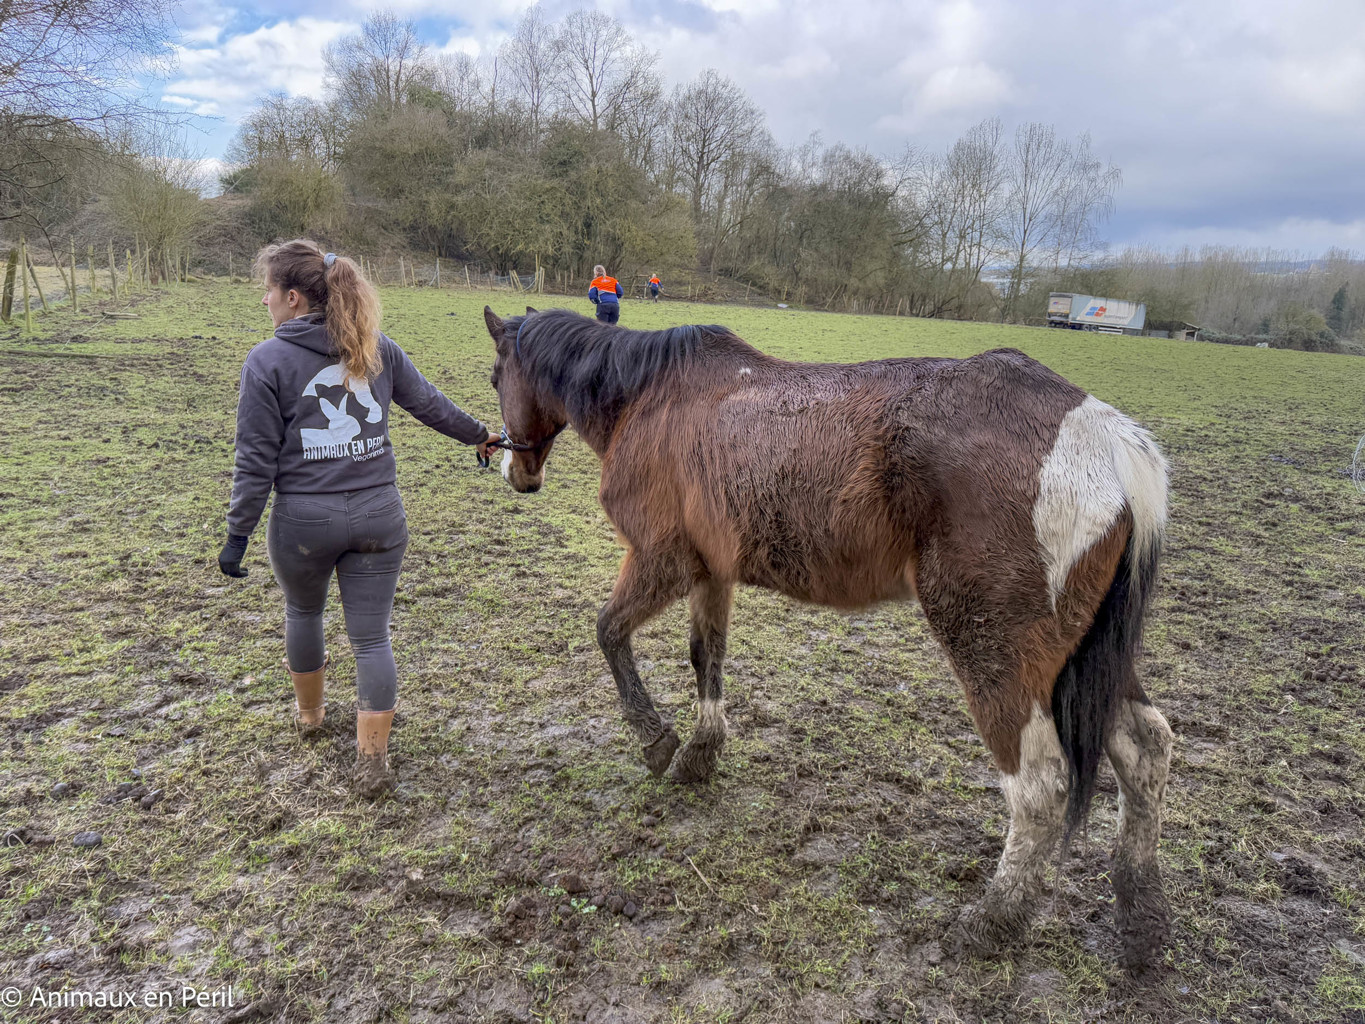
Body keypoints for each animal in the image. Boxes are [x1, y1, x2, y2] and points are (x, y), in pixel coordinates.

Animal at [481, 305, 1174, 970]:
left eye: (495, 378)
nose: (515, 469)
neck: (651, 397)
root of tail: (1103, 435)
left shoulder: (661, 561)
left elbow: (608, 633)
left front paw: (656, 740)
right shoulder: (711, 572)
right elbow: (707, 657)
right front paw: (700, 752)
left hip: (997, 654)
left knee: (1039, 787)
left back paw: (993, 920)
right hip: (1084, 660)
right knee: (1146, 747)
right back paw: (1139, 914)